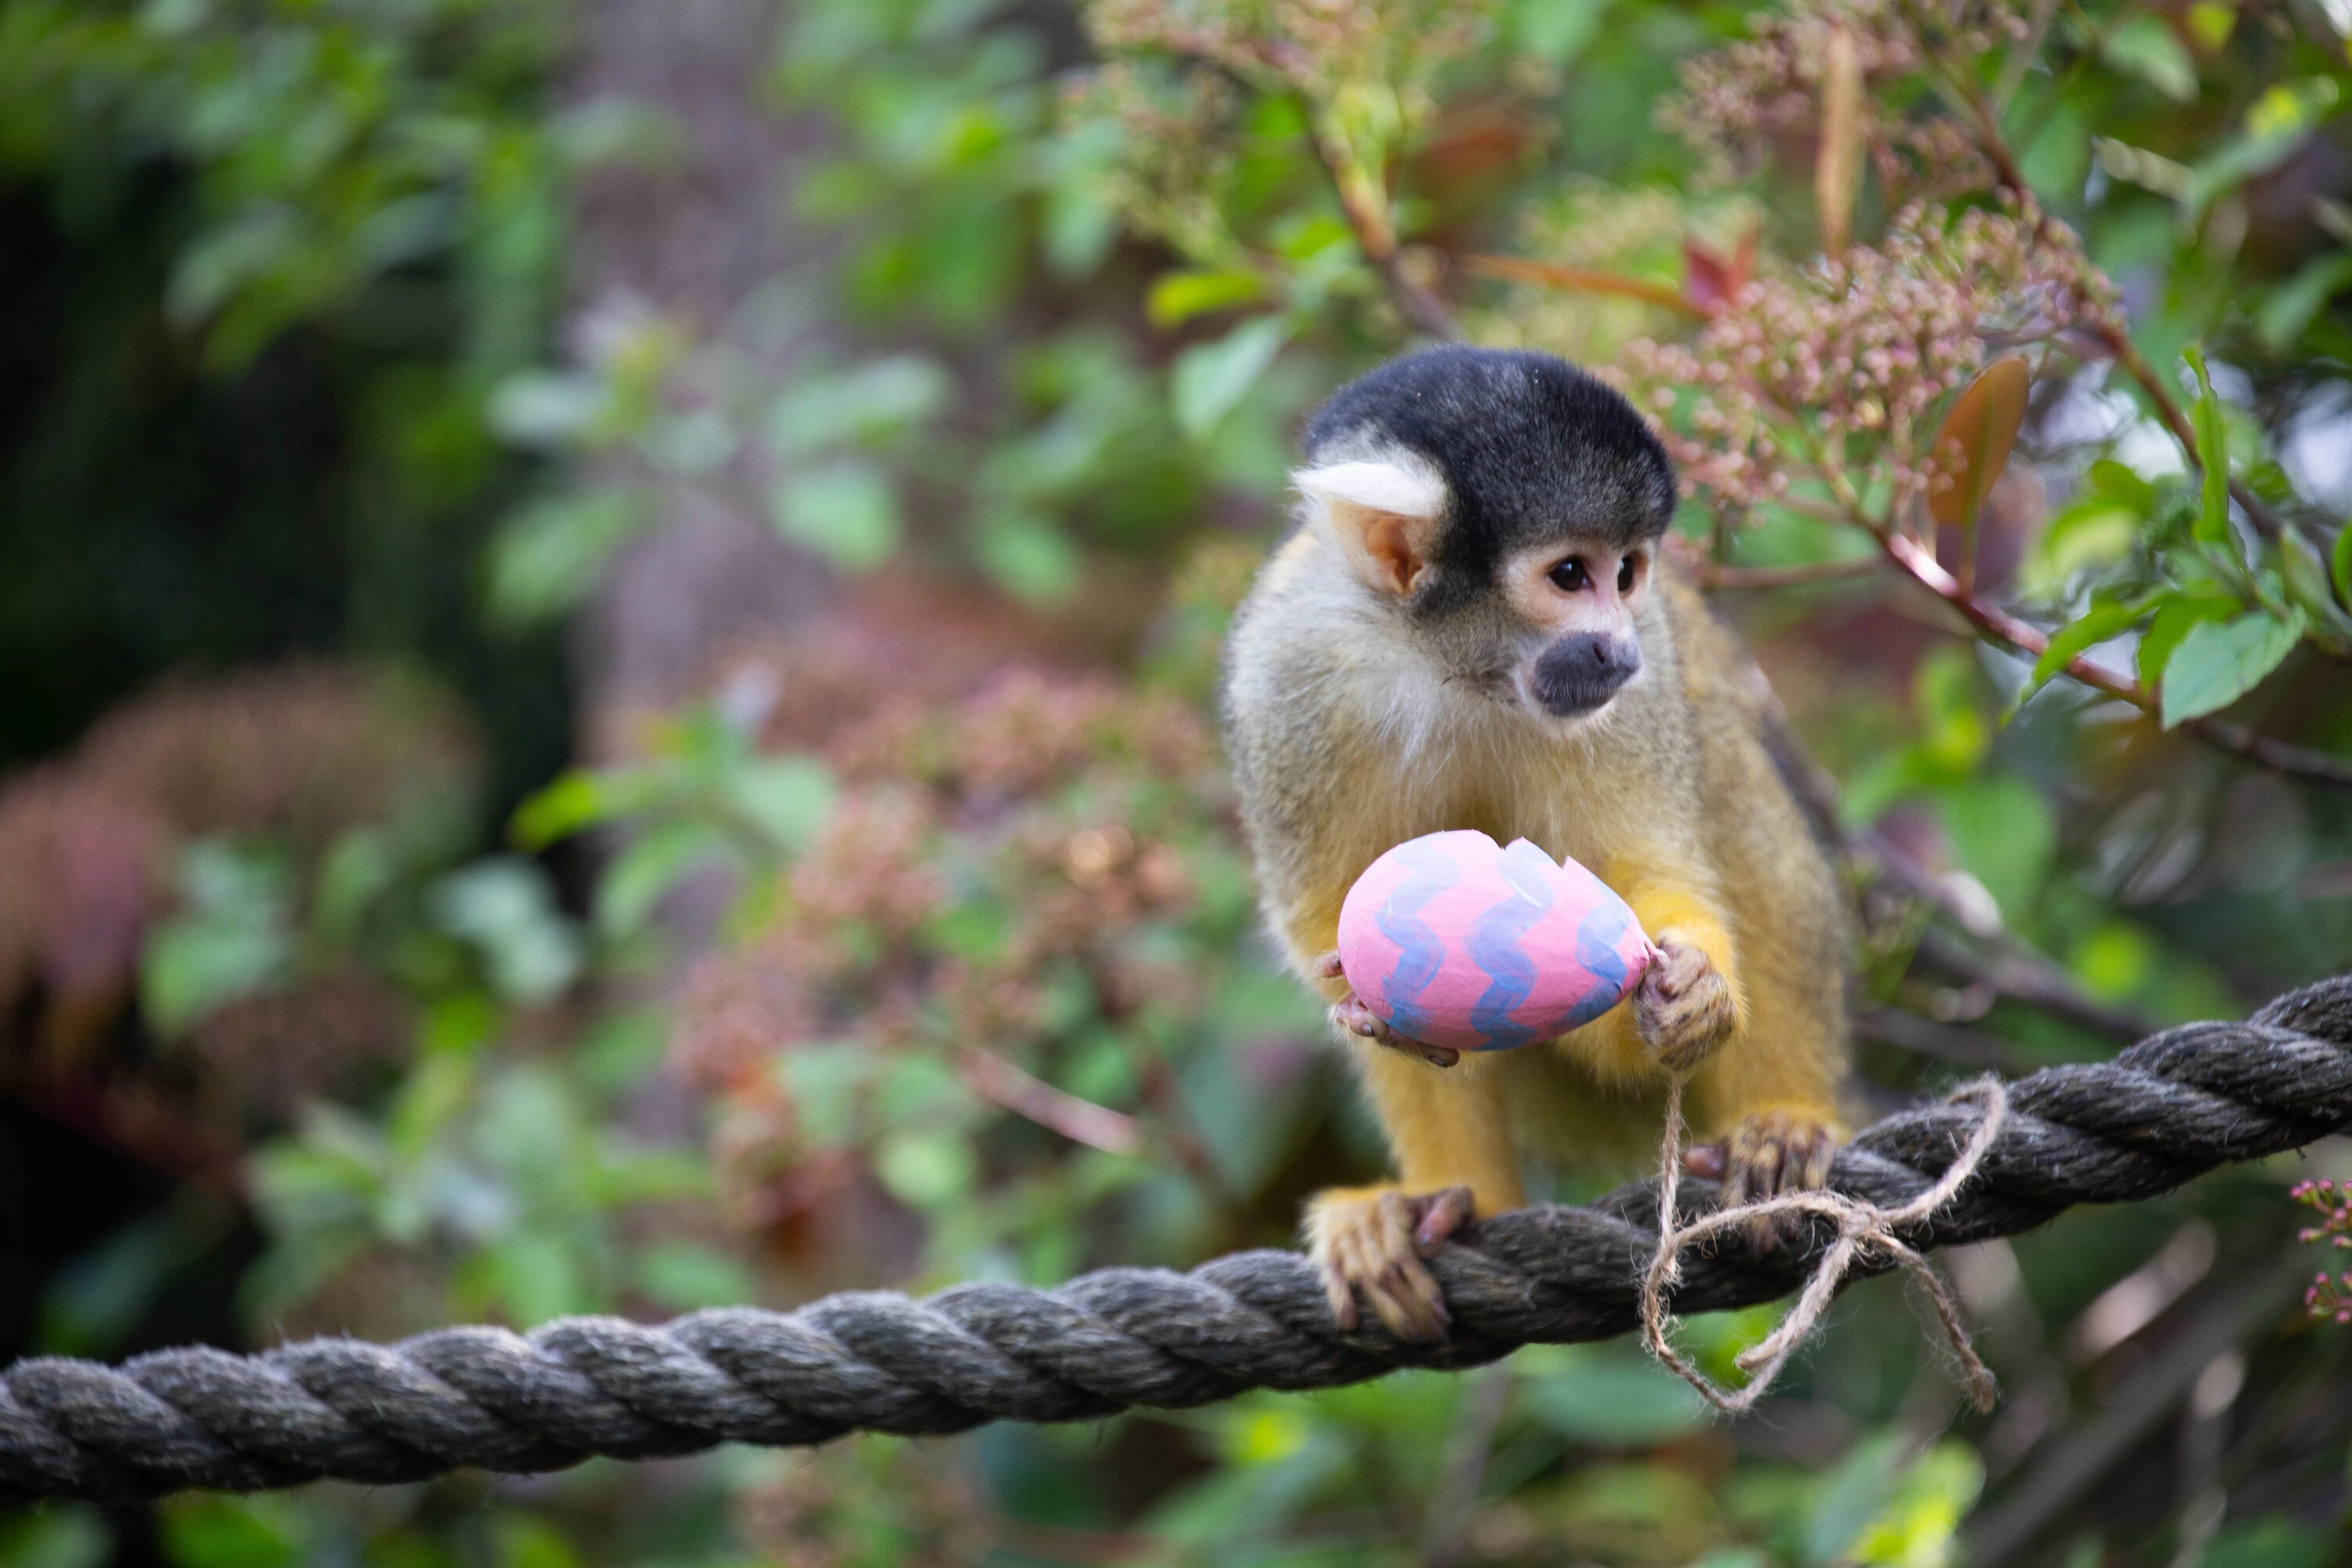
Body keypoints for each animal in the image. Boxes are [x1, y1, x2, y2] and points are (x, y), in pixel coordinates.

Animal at [1222, 345, 1851, 1342]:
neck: (1450, 666)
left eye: (1626, 572)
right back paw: (1446, 1202)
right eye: (1568, 574)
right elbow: (1331, 928)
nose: (1618, 651)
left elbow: (1650, 877)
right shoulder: (1285, 676)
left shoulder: (1633, 692)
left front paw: (1693, 989)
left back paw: (1782, 1123)